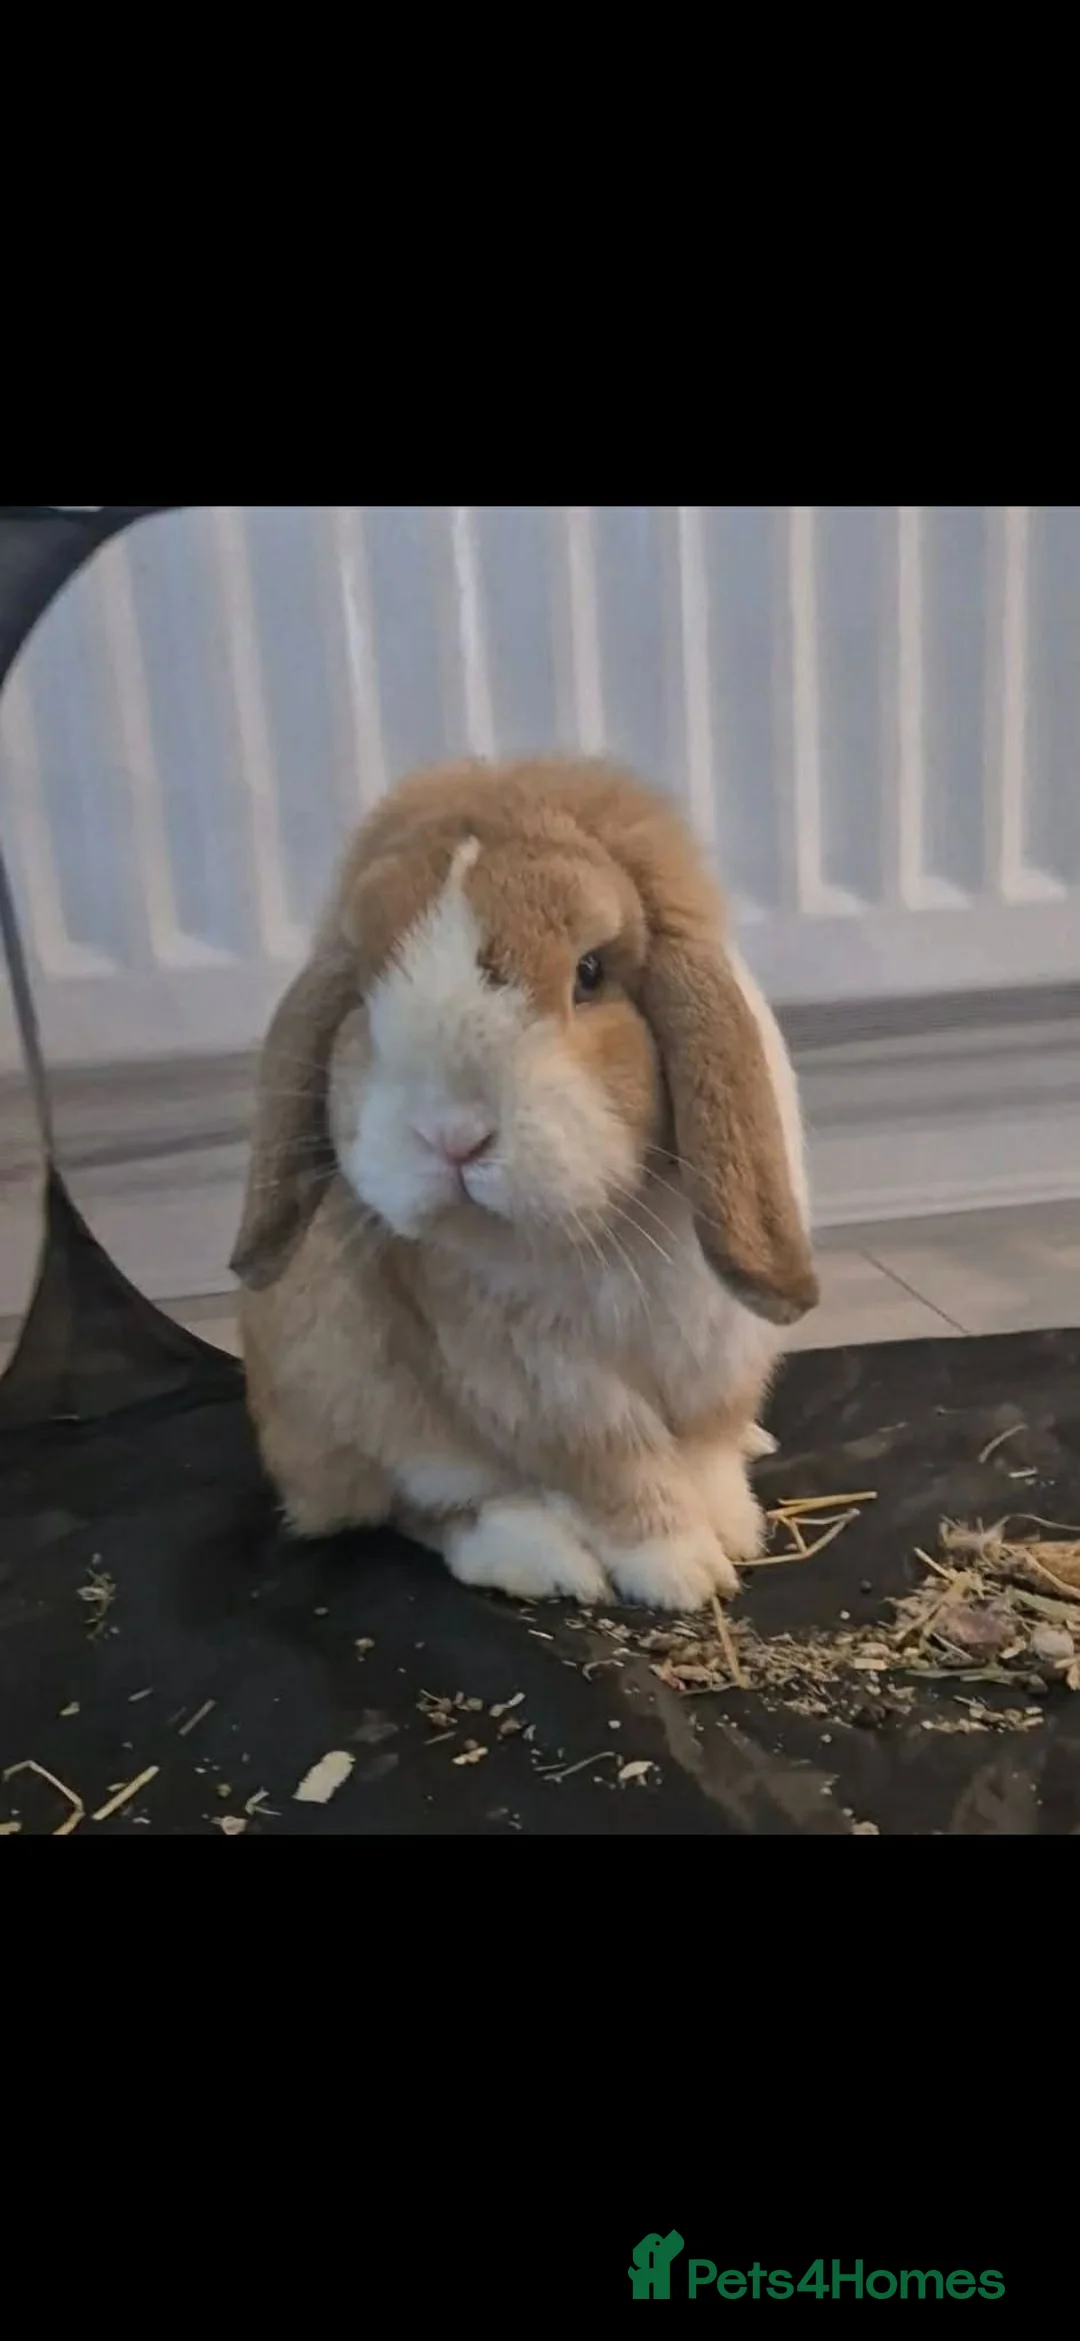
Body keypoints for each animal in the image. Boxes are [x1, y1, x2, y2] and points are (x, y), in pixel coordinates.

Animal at [231, 757, 818, 1611]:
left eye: (590, 972)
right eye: (365, 991)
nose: (453, 1135)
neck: (607, 1222)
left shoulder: (721, 1349)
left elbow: (707, 1441)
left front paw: (735, 1526)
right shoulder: (542, 1382)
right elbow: (618, 1465)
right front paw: (682, 1571)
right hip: (351, 1394)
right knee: (422, 1507)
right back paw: (541, 1556)